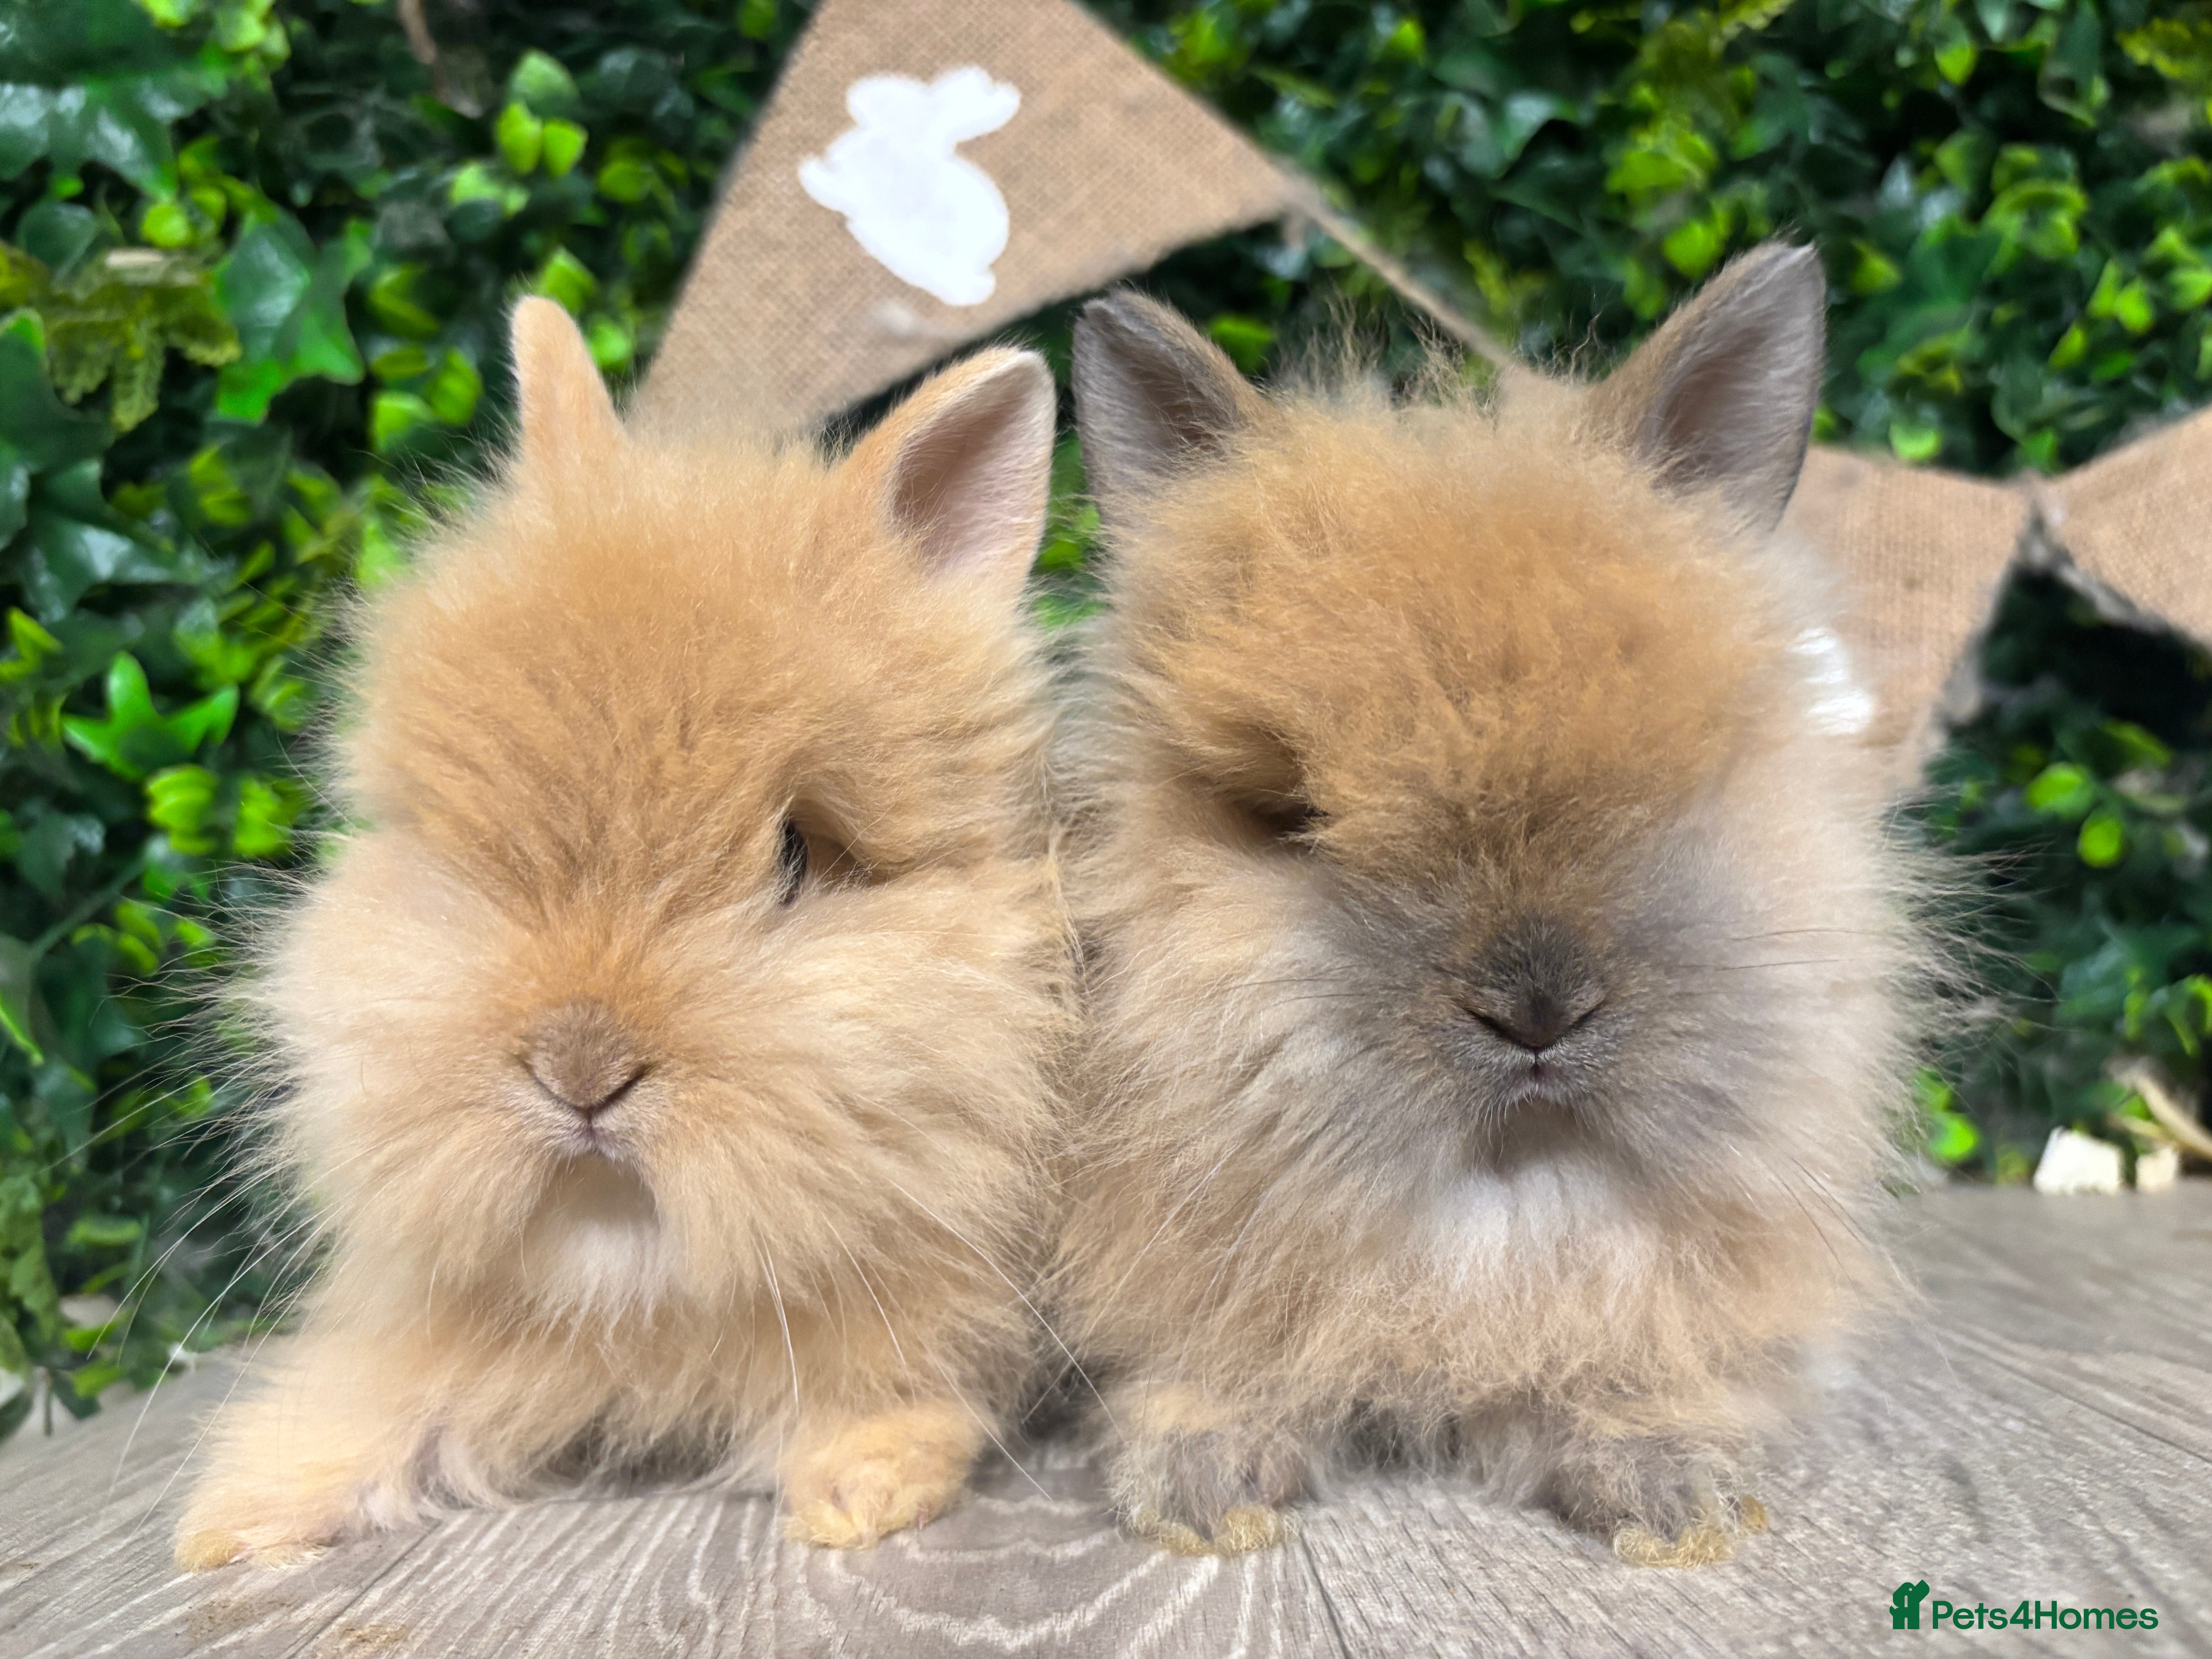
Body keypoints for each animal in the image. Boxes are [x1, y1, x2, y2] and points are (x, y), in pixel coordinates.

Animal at [173, 299, 1071, 1569]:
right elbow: (379, 1405)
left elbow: (894, 1389)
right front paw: (239, 1518)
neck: (630, 1280)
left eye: (796, 855)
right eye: (469, 858)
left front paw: (860, 1494)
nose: (581, 1069)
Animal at [1054, 246, 1923, 1567]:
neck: (1499, 1204)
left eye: (1678, 778)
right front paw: (1201, 1487)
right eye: (1286, 811)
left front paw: (1674, 1493)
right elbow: (1218, 1358)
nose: (1535, 1007)